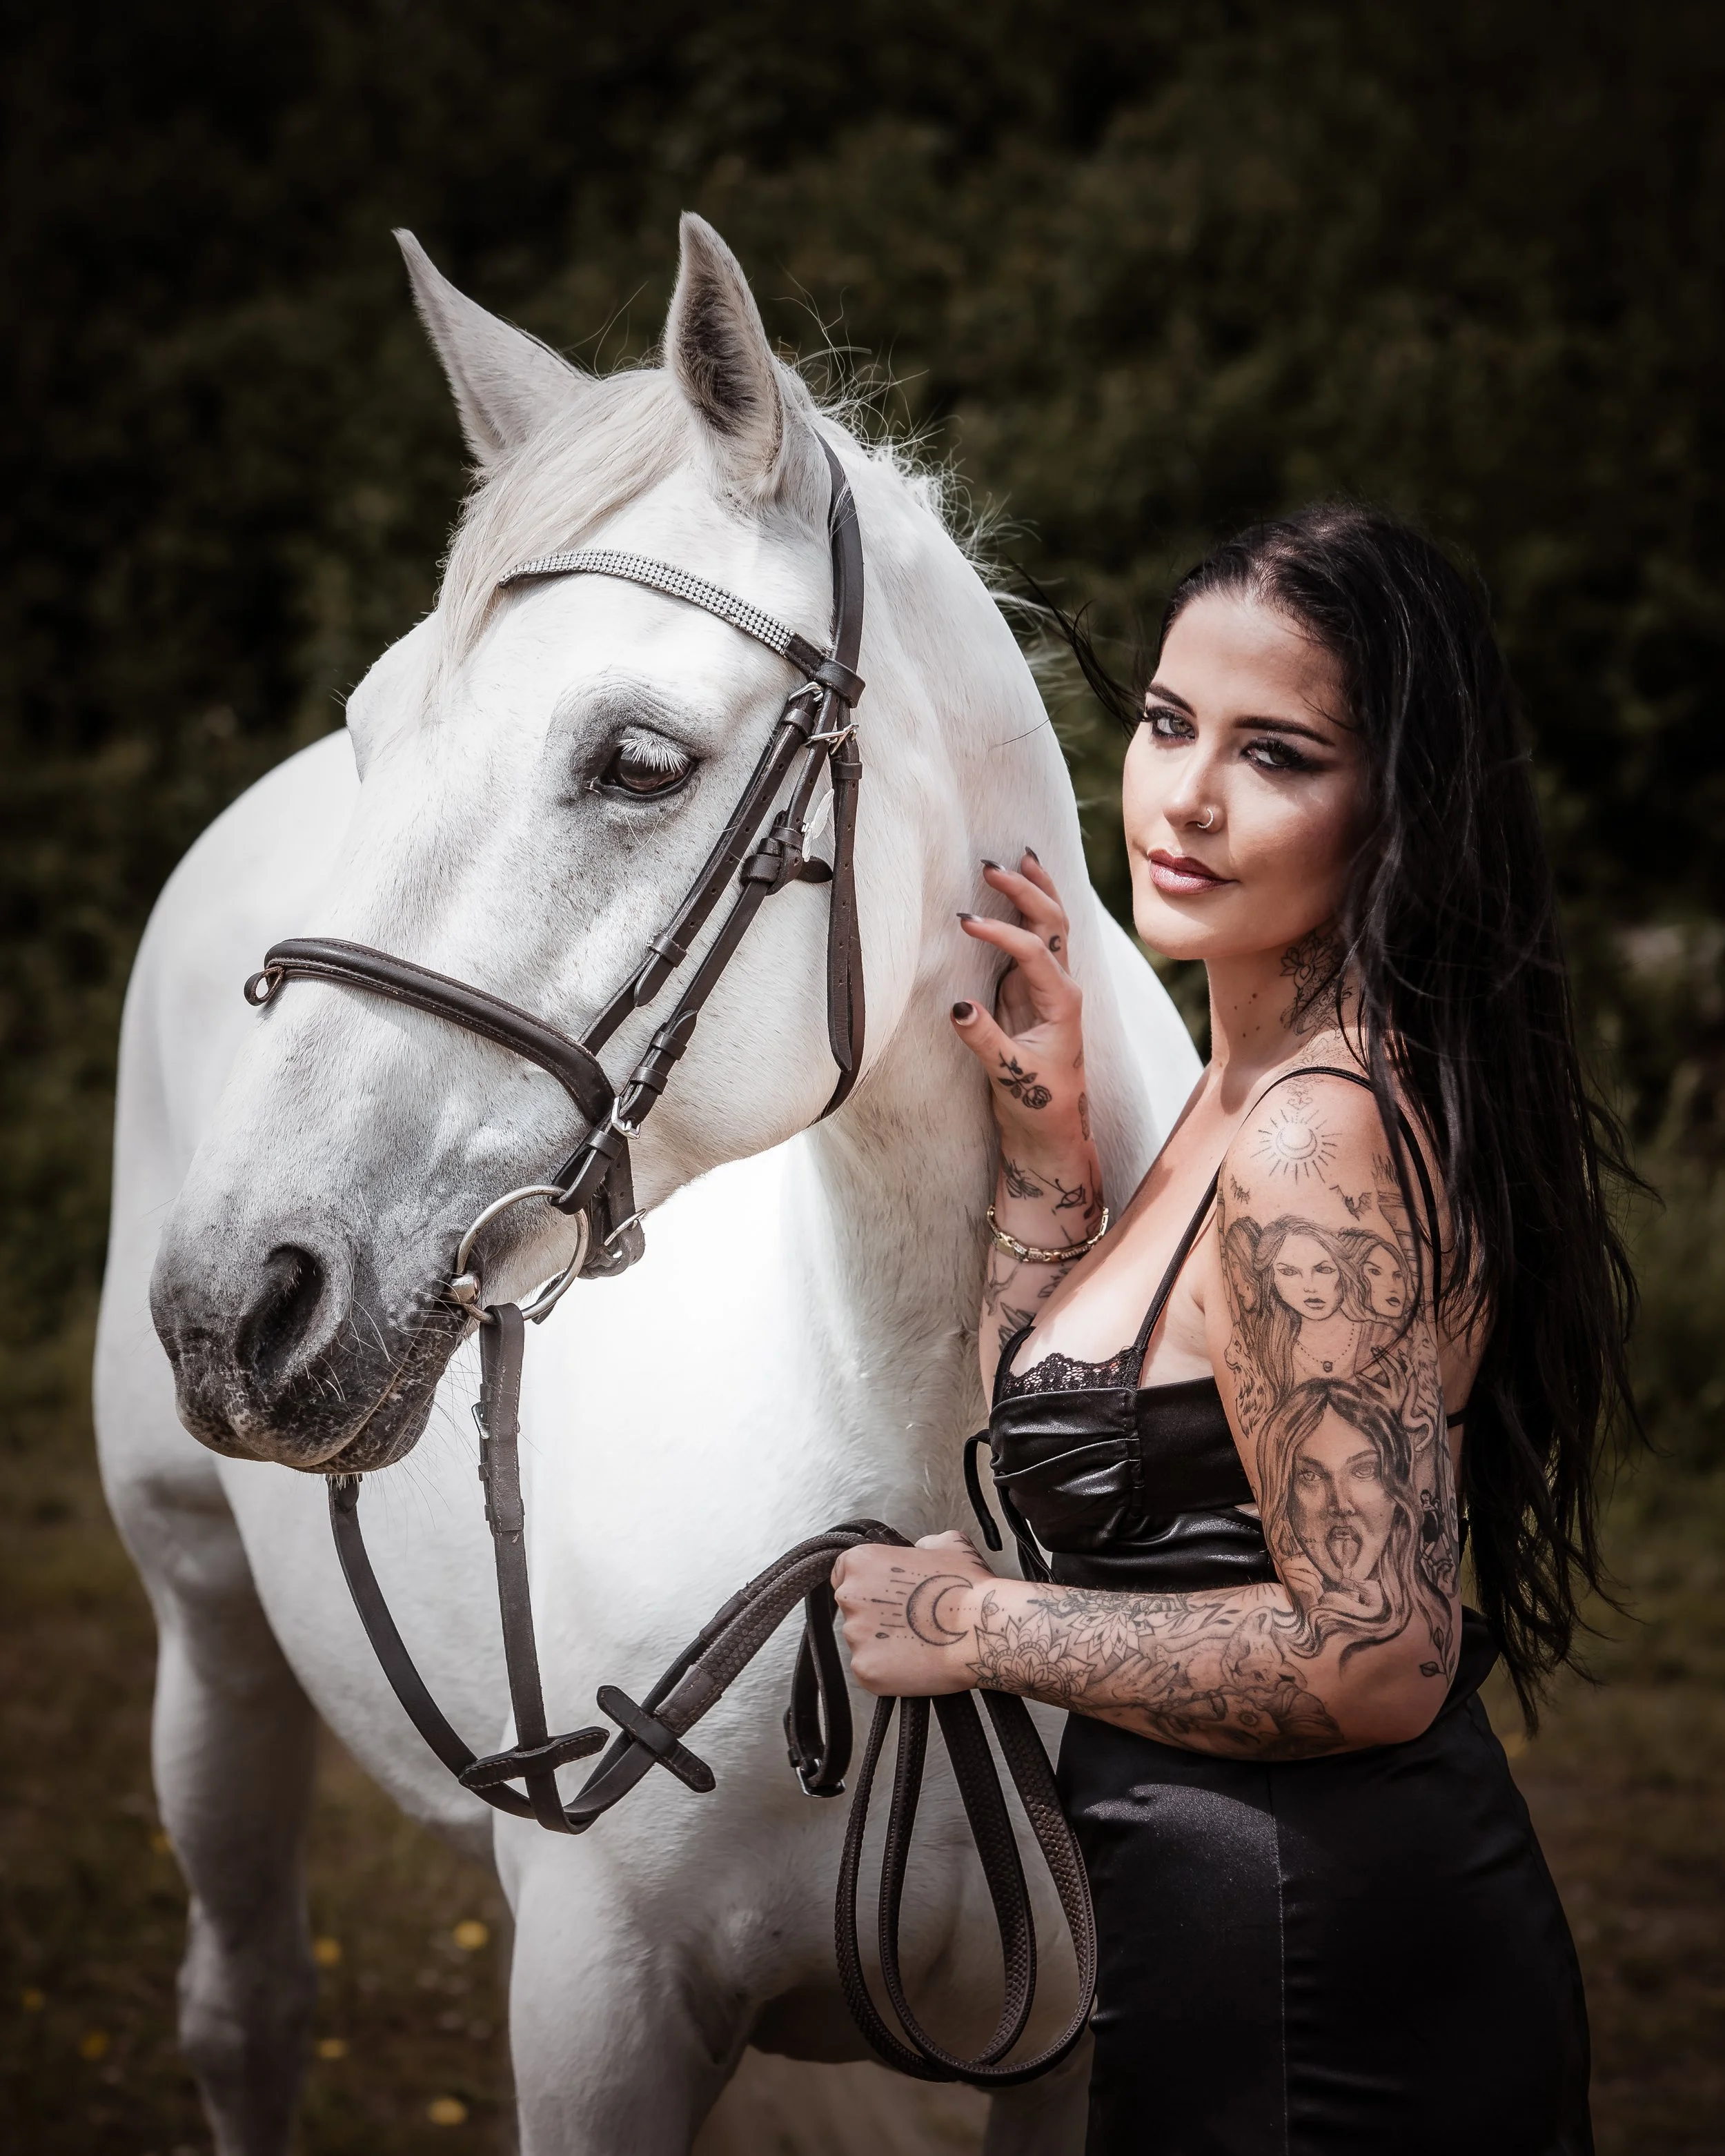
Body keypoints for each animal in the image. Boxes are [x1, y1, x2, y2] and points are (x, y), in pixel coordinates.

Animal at [95, 213, 1199, 2156]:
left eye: (637, 761)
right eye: (376, 732)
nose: (233, 1301)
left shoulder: (1067, 2053)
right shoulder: (600, 1999)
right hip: (207, 1634)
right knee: (245, 2004)